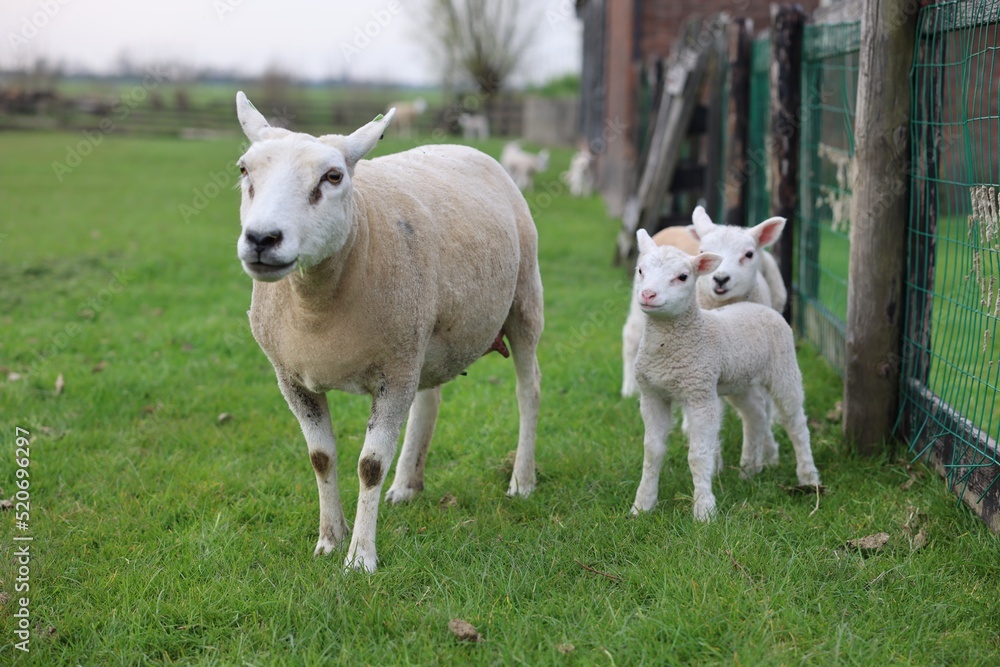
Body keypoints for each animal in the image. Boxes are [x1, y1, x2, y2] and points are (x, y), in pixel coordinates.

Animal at [234, 92, 543, 573]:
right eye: (244, 170)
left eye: (333, 176)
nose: (262, 239)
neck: (316, 306)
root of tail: (464, 148)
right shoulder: (291, 377)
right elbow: (321, 458)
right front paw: (330, 539)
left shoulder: (393, 372)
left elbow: (370, 465)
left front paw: (361, 558)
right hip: (427, 339)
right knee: (429, 399)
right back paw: (406, 486)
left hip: (524, 299)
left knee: (528, 391)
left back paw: (522, 481)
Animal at [629, 229, 820, 520]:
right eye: (640, 270)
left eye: (682, 277)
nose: (648, 294)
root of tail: (758, 307)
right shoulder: (652, 394)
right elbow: (652, 451)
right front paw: (642, 505)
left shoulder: (700, 393)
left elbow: (699, 454)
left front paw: (704, 511)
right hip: (740, 381)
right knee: (755, 415)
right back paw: (749, 469)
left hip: (784, 369)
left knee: (796, 423)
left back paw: (808, 476)